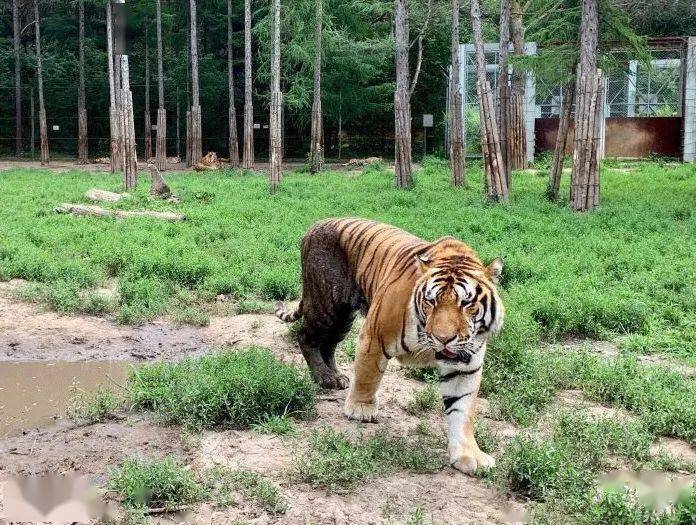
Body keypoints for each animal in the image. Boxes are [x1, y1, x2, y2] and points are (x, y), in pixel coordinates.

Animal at [278, 217, 506, 474]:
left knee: (328, 345)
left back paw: (335, 377)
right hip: (326, 305)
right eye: (431, 301)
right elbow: (367, 376)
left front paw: (469, 455)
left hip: (343, 318)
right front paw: (361, 409)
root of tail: (315, 225)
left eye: (466, 304)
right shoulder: (374, 335)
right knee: (306, 337)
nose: (443, 338)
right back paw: (322, 377)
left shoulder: (465, 365)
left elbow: (462, 409)